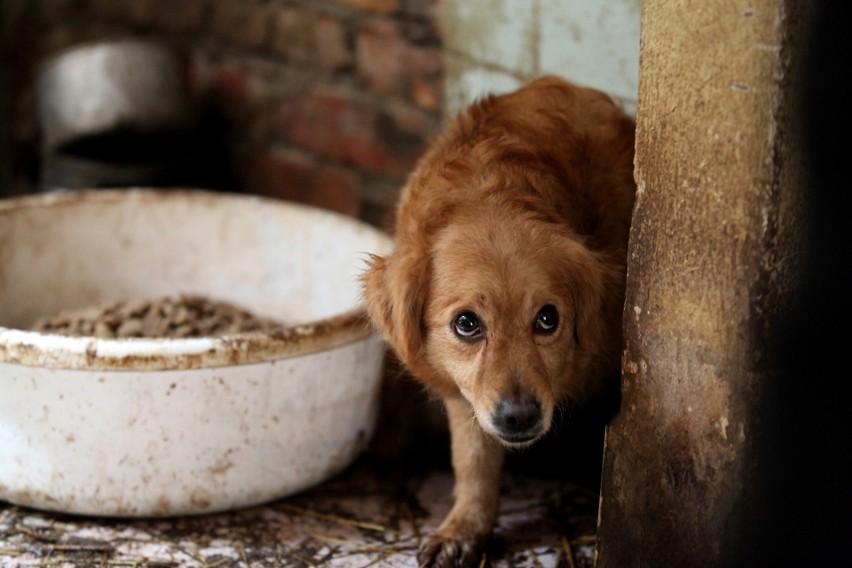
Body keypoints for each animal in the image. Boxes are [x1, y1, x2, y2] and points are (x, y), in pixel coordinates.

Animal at [362, 76, 636, 568]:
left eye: (548, 318)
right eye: (466, 323)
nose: (519, 416)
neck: (495, 188)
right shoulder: (461, 390)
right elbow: (472, 461)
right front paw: (463, 529)